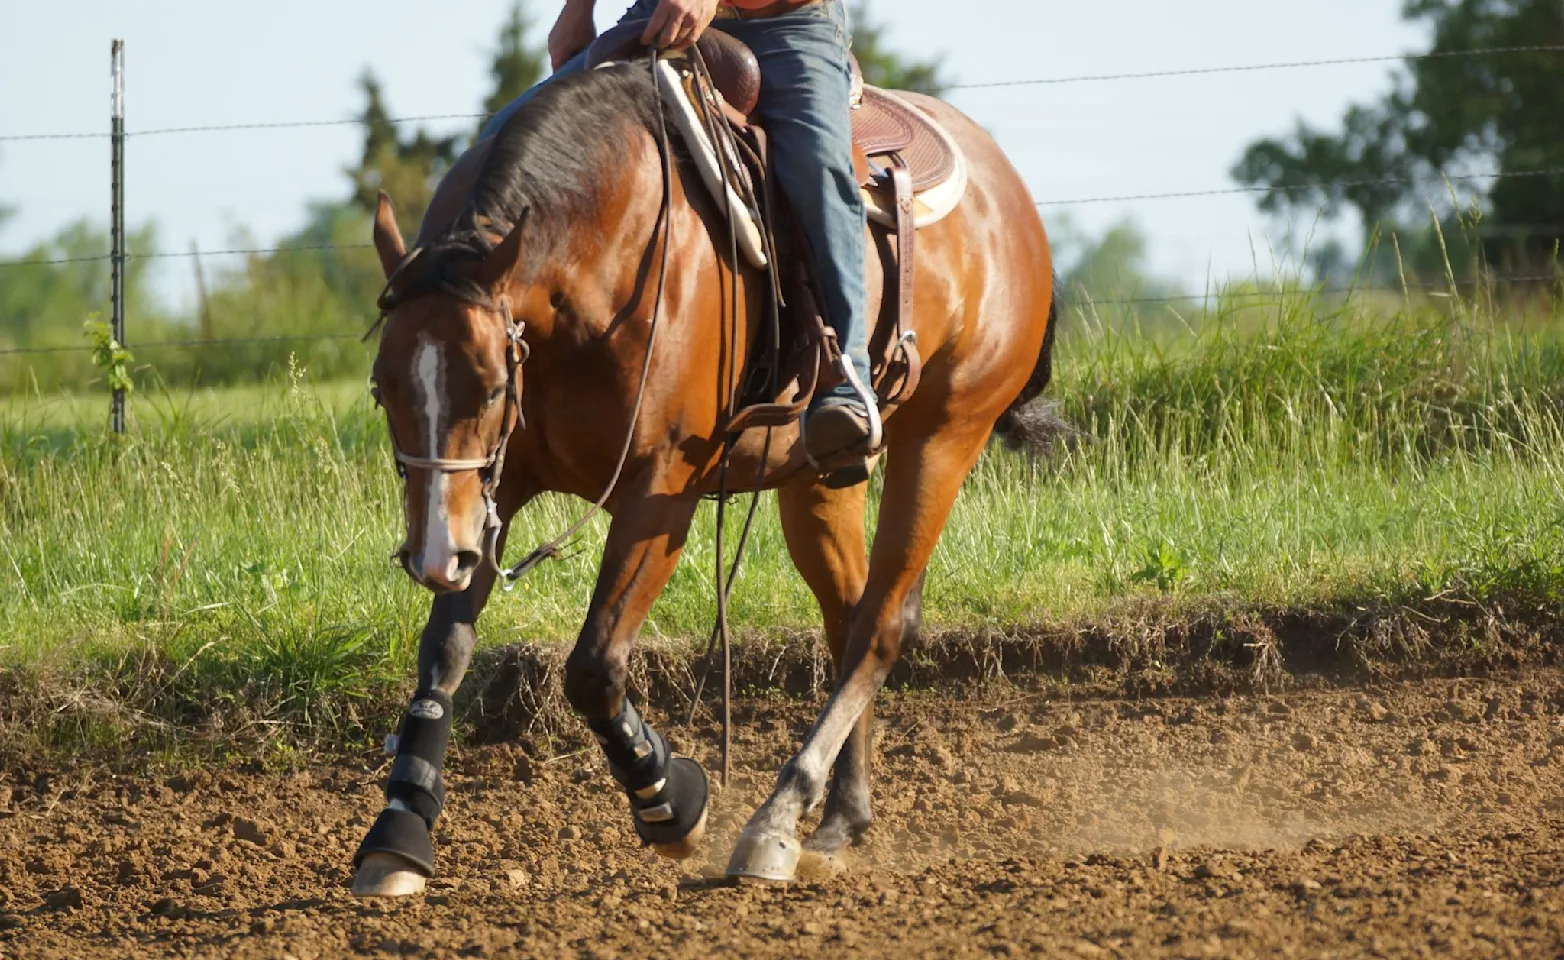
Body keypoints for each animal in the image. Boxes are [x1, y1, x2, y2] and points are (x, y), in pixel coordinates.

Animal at [350, 50, 1057, 894]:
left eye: (490, 385)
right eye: (383, 386)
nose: (431, 557)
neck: (597, 256)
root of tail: (1007, 189)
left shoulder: (660, 494)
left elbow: (594, 665)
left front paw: (670, 801)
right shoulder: (492, 485)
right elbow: (445, 653)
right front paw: (397, 830)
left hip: (946, 437)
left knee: (882, 627)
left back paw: (776, 821)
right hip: (817, 477)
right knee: (849, 617)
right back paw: (838, 820)